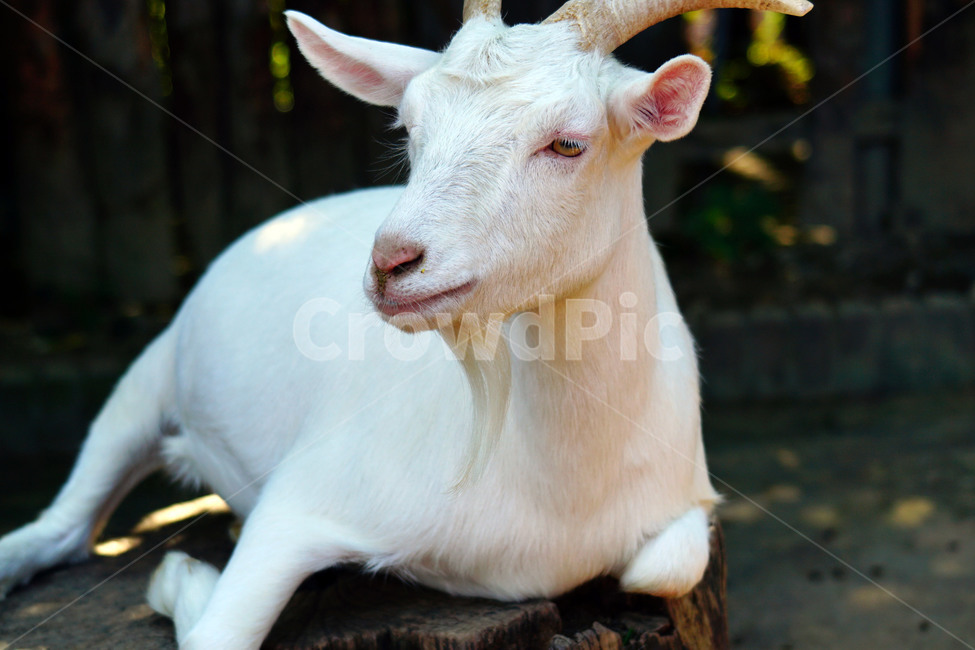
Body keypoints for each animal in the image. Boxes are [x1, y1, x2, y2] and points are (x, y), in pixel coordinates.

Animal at [0, 0, 812, 647]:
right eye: (410, 129)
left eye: (568, 143)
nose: (392, 261)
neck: (553, 486)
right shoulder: (302, 499)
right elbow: (217, 632)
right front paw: (177, 577)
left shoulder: (684, 501)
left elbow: (663, 567)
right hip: (150, 373)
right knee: (65, 523)